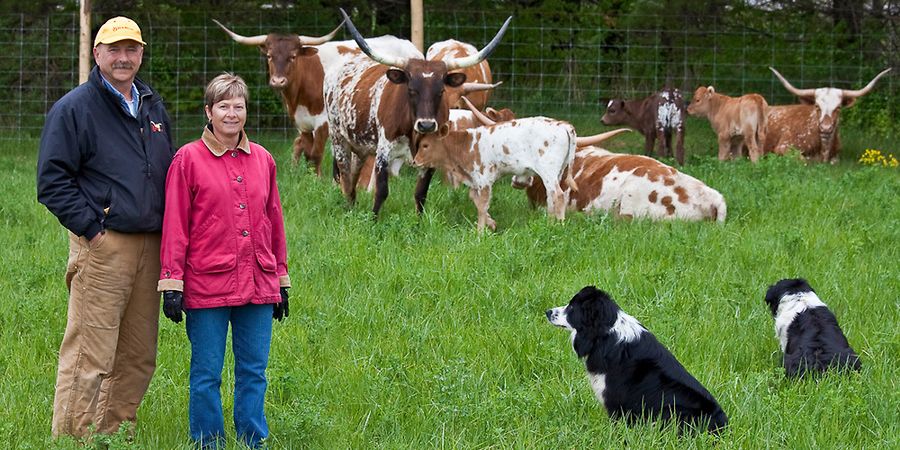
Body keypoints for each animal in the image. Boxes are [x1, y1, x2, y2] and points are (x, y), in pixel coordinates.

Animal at [324, 8, 510, 216]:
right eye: (411, 90)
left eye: (440, 91)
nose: (426, 125)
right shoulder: (383, 152)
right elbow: (381, 191)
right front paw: (373, 219)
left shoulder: (430, 155)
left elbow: (421, 194)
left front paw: (419, 220)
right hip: (338, 138)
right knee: (345, 177)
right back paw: (348, 208)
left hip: (359, 144)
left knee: (353, 175)